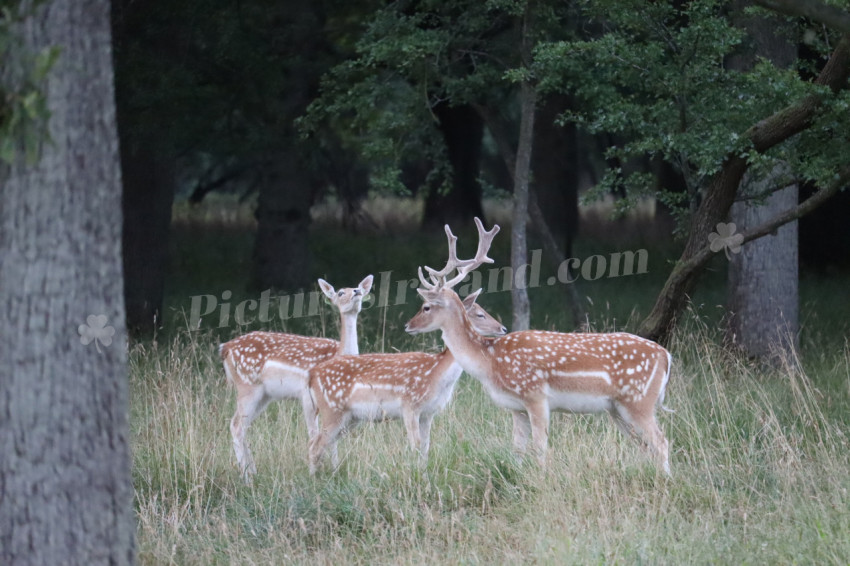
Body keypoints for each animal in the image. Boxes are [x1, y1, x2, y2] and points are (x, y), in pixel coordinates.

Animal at [220, 275, 372, 480]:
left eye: (359, 288)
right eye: (341, 292)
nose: (356, 292)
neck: (338, 354)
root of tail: (225, 348)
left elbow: (331, 437)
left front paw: (334, 470)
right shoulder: (307, 397)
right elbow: (314, 434)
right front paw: (319, 472)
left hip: (264, 396)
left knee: (243, 427)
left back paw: (253, 471)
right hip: (247, 386)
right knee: (236, 425)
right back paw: (246, 478)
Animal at [307, 289, 507, 474]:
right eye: (479, 314)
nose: (503, 328)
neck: (437, 374)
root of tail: (312, 375)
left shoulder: (429, 412)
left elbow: (426, 446)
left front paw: (424, 475)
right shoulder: (410, 405)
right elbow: (415, 444)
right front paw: (416, 477)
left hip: (351, 417)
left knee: (320, 443)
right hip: (332, 409)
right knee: (315, 446)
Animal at [404, 218, 674, 475]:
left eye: (426, 307)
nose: (408, 325)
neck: (490, 361)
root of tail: (666, 356)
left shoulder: (535, 396)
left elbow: (540, 448)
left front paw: (543, 480)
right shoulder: (516, 407)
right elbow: (517, 450)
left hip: (638, 400)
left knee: (661, 442)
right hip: (617, 408)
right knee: (644, 446)